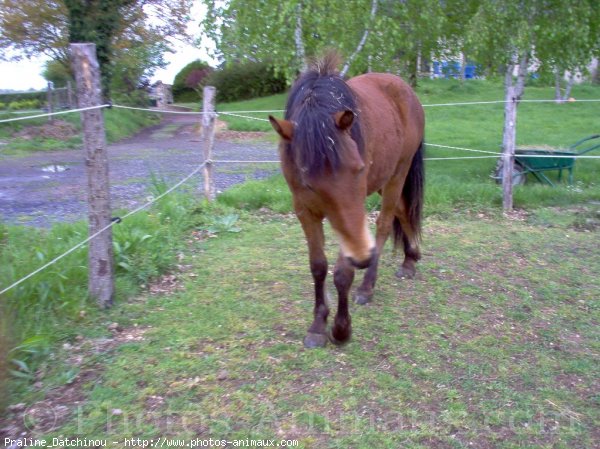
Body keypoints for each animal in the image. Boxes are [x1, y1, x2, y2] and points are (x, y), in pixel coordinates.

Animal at [270, 52, 424, 346]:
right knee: (401, 211)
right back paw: (410, 259)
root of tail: (406, 89)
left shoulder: (353, 212)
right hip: (385, 179)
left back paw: (367, 286)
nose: (363, 258)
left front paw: (341, 329)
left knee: (386, 222)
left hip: (398, 173)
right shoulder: (305, 211)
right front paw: (318, 324)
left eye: (359, 169)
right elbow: (318, 266)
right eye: (308, 182)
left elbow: (342, 273)